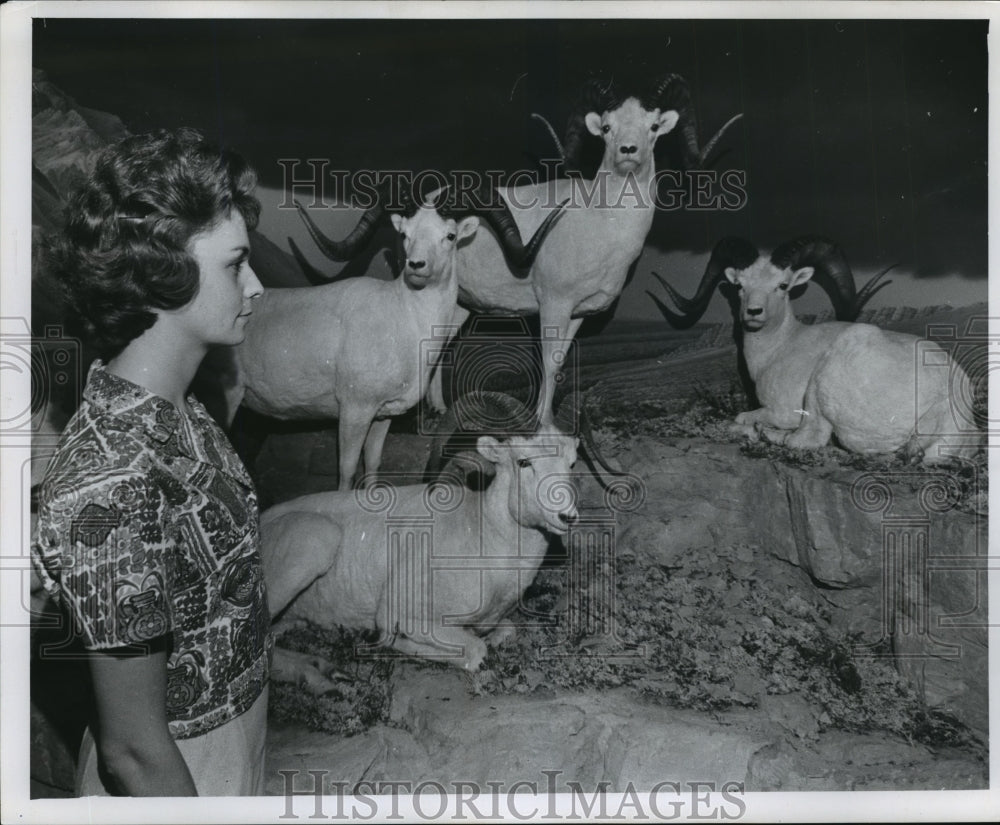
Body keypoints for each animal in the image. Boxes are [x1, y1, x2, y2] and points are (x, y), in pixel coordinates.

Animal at [262, 392, 584, 684]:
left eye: (571, 463)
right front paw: (385, 641)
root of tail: (264, 520)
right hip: (313, 544)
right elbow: (475, 650)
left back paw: (324, 669)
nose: (567, 517)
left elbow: (506, 631)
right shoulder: (403, 614)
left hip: (291, 616)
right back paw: (317, 675)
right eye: (523, 462)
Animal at [648, 235, 984, 464]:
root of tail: (945, 400)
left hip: (822, 384)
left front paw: (756, 427)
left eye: (782, 286)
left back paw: (765, 433)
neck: (779, 348)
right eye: (740, 285)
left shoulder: (783, 410)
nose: (753, 313)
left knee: (807, 439)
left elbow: (745, 417)